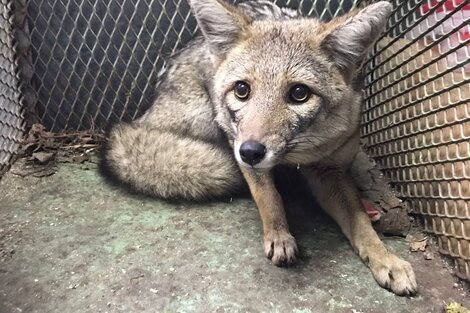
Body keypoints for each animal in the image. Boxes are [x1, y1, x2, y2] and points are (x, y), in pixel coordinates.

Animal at [101, 0, 416, 294]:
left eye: (299, 93)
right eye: (242, 89)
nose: (250, 151)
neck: (300, 153)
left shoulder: (330, 170)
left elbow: (359, 223)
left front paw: (386, 258)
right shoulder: (240, 145)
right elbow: (269, 197)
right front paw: (279, 236)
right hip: (207, 118)